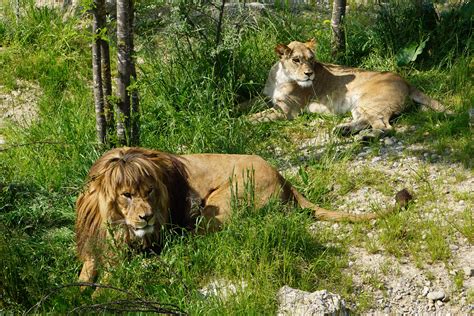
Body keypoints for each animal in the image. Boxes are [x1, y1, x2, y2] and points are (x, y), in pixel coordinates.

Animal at [76, 147, 390, 282]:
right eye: (127, 195)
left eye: (150, 190)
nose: (148, 217)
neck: (117, 227)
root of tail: (284, 178)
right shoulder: (97, 247)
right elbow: (83, 277)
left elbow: (107, 283)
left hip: (216, 205)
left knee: (194, 244)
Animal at [248, 39, 448, 134]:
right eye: (296, 60)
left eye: (311, 59)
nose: (309, 74)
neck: (281, 77)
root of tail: (405, 81)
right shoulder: (265, 97)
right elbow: (249, 105)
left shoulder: (287, 111)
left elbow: (257, 117)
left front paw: (241, 123)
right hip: (360, 106)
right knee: (366, 121)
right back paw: (342, 130)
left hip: (370, 102)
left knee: (384, 127)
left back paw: (364, 137)